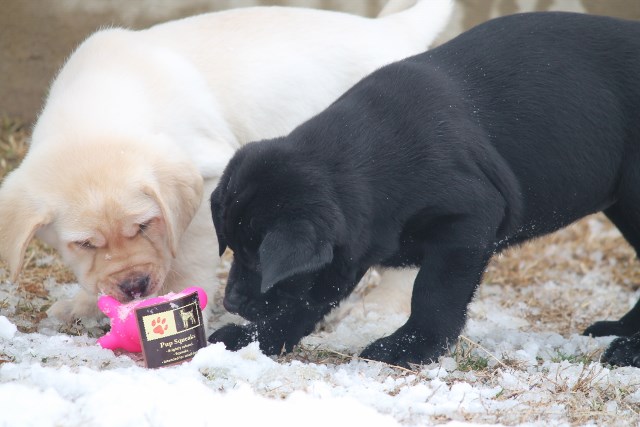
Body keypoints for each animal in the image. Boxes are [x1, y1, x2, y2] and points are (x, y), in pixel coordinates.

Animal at [0, 0, 452, 320]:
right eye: (83, 244)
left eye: (145, 225)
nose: (135, 286)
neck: (98, 110)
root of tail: (391, 29)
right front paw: (84, 305)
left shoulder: (208, 183)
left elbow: (186, 255)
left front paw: (172, 301)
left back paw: (381, 308)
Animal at [208, 13, 640, 368]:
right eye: (234, 248)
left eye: (257, 255)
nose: (231, 302)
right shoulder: (352, 243)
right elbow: (306, 295)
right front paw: (254, 339)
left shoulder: (467, 222)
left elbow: (434, 292)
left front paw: (410, 346)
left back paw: (629, 349)